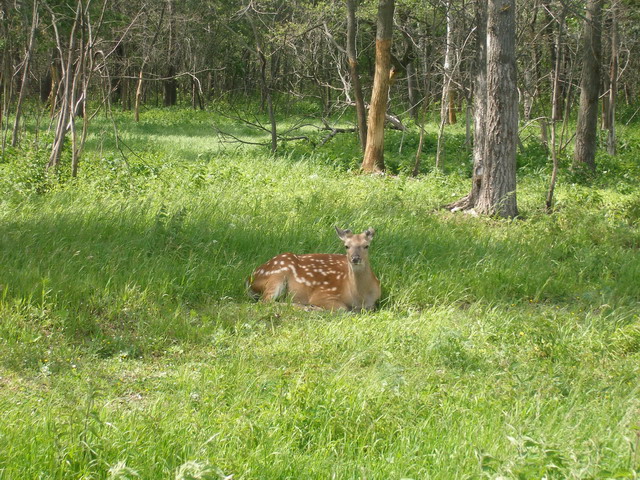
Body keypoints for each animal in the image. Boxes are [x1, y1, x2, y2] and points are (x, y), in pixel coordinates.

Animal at [246, 226, 380, 312]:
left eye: (366, 246)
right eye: (346, 246)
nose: (355, 258)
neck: (359, 297)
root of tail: (250, 279)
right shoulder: (323, 294)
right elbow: (342, 309)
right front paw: (315, 307)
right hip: (277, 274)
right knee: (265, 301)